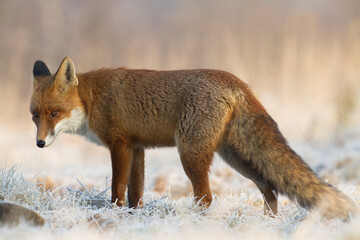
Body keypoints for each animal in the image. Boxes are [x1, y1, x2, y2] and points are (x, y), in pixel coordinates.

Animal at [30, 57, 358, 220]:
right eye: (35, 115)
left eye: (55, 113)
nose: (39, 144)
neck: (92, 98)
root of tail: (237, 81)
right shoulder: (137, 147)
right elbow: (136, 192)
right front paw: (134, 217)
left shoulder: (120, 144)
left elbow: (117, 188)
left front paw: (115, 214)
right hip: (235, 158)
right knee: (270, 187)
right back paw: (268, 224)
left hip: (190, 154)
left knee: (207, 196)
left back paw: (195, 222)